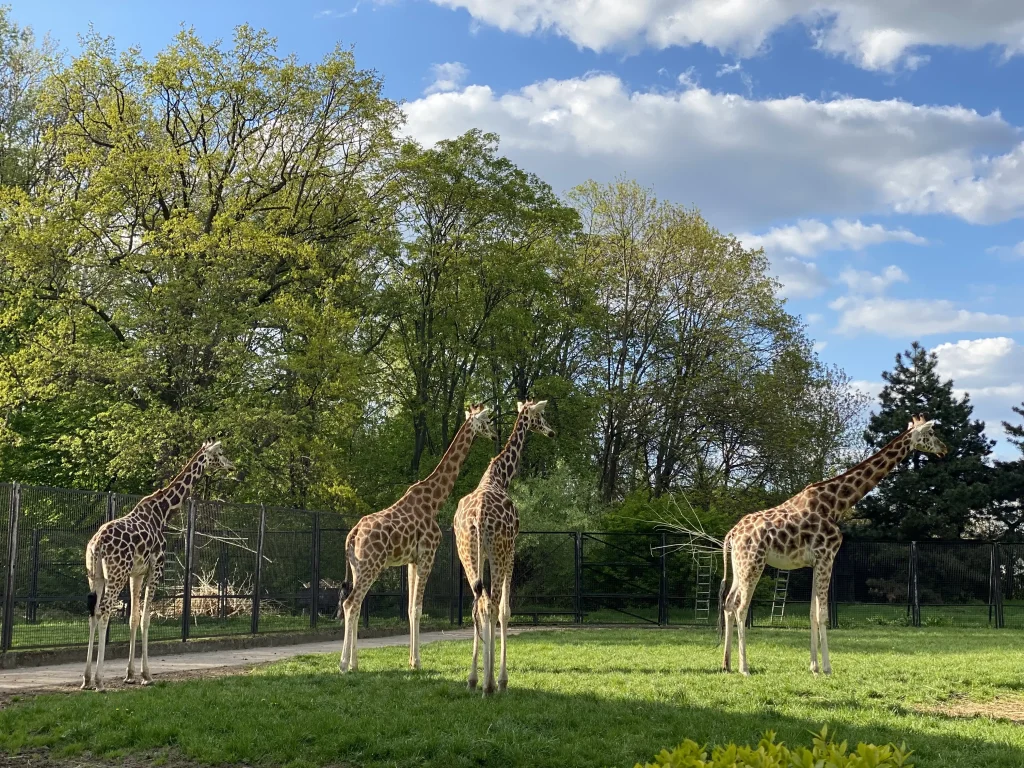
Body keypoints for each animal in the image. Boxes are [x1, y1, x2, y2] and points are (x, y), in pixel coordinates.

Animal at [81, 438, 234, 692]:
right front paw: (147, 675)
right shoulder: (156, 568)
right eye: (220, 453)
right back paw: (100, 681)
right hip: (116, 574)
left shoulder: (136, 573)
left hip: (96, 576)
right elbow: (146, 618)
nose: (231, 465)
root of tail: (97, 545)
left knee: (93, 612)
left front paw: (130, 675)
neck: (163, 513)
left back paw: (86, 680)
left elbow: (133, 618)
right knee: (104, 612)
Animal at [335, 403, 495, 671]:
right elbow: (418, 608)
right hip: (371, 565)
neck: (434, 501)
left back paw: (354, 664)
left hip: (358, 567)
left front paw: (411, 660)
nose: (494, 435)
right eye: (486, 421)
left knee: (354, 606)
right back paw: (344, 664)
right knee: (351, 604)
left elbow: (410, 609)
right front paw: (417, 662)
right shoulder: (428, 554)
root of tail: (353, 534)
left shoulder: (412, 560)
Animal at [454, 399, 552, 696]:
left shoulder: (482, 556)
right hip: (498, 551)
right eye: (540, 415)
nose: (551, 431)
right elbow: (505, 611)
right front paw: (502, 679)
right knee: (492, 604)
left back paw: (473, 680)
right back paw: (489, 685)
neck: (498, 476)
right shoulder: (511, 551)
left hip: (467, 553)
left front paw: (478, 677)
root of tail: (478, 517)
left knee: (479, 604)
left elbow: (483, 607)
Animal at [716, 417, 946, 675]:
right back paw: (744, 667)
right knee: (741, 607)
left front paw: (814, 666)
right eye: (931, 433)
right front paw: (826, 668)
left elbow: (812, 613)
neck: (836, 504)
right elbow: (823, 614)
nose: (944, 449)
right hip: (753, 562)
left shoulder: (816, 562)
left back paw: (726, 664)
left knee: (728, 603)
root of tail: (732, 534)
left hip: (739, 565)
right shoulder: (827, 556)